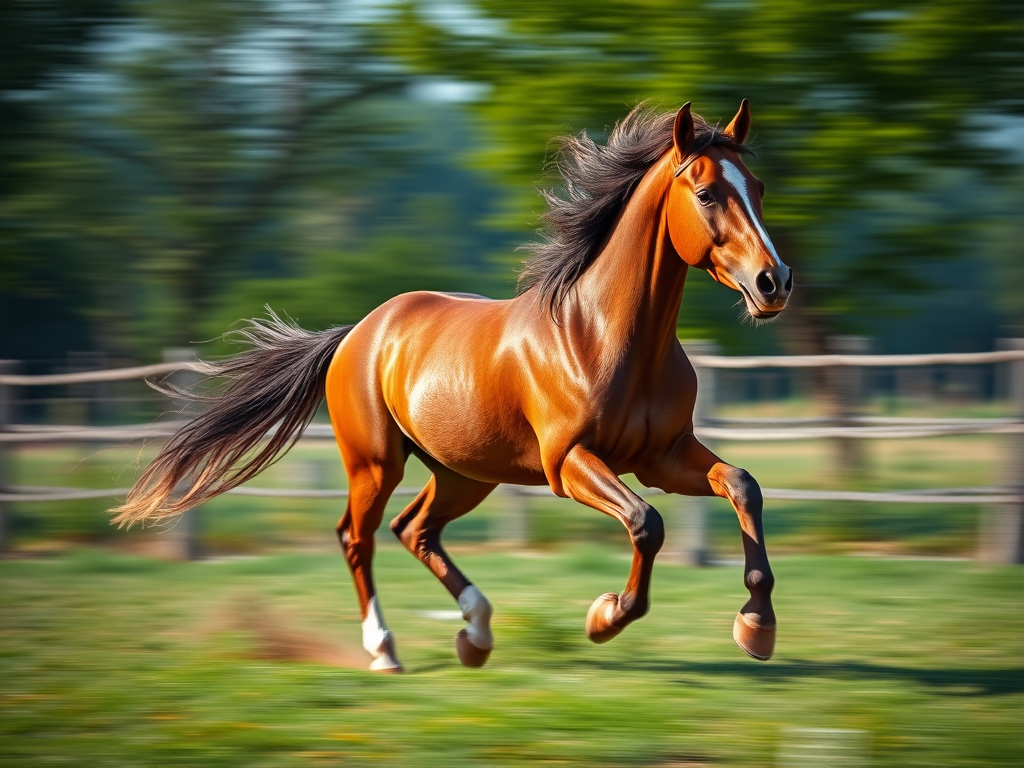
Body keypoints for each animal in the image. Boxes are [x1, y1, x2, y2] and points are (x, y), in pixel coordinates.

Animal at [112, 101, 792, 672]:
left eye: (757, 188)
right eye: (706, 193)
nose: (774, 281)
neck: (602, 337)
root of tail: (358, 331)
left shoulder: (662, 456)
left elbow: (744, 486)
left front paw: (756, 627)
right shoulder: (568, 462)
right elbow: (646, 522)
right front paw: (605, 617)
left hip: (464, 473)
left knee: (414, 530)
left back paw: (476, 634)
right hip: (376, 464)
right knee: (357, 537)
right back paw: (385, 651)